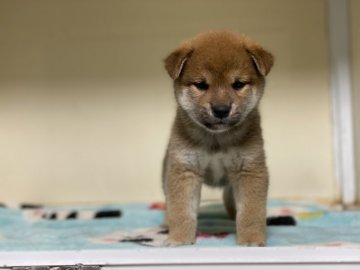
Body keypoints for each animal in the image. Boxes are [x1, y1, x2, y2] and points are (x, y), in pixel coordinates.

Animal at [162, 30, 272, 246]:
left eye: (238, 84)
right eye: (201, 85)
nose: (221, 110)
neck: (216, 140)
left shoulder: (249, 170)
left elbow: (251, 212)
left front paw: (251, 240)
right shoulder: (185, 170)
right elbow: (181, 211)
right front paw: (179, 240)